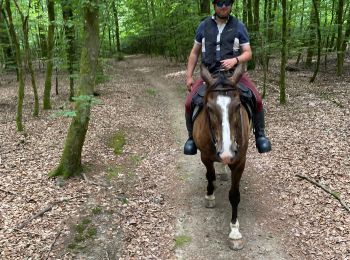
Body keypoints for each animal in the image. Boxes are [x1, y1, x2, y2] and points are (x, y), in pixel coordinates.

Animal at [193, 63, 250, 250]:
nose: (226, 152)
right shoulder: (205, 156)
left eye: (238, 106)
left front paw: (235, 232)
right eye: (209, 108)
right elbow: (210, 175)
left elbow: (234, 195)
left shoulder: (240, 161)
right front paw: (210, 196)